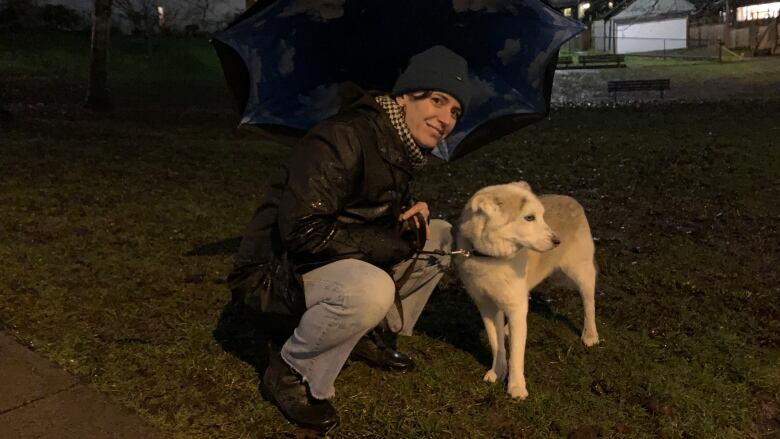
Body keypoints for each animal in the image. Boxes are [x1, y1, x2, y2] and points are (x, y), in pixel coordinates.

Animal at [454, 180, 600, 400]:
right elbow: (496, 344)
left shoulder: (514, 305)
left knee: (589, 303)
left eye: (540, 216)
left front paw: (516, 387)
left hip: (581, 273)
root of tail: (570, 198)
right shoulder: (487, 307)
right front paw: (497, 371)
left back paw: (590, 335)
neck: (491, 258)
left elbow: (516, 354)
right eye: (529, 217)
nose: (557, 241)